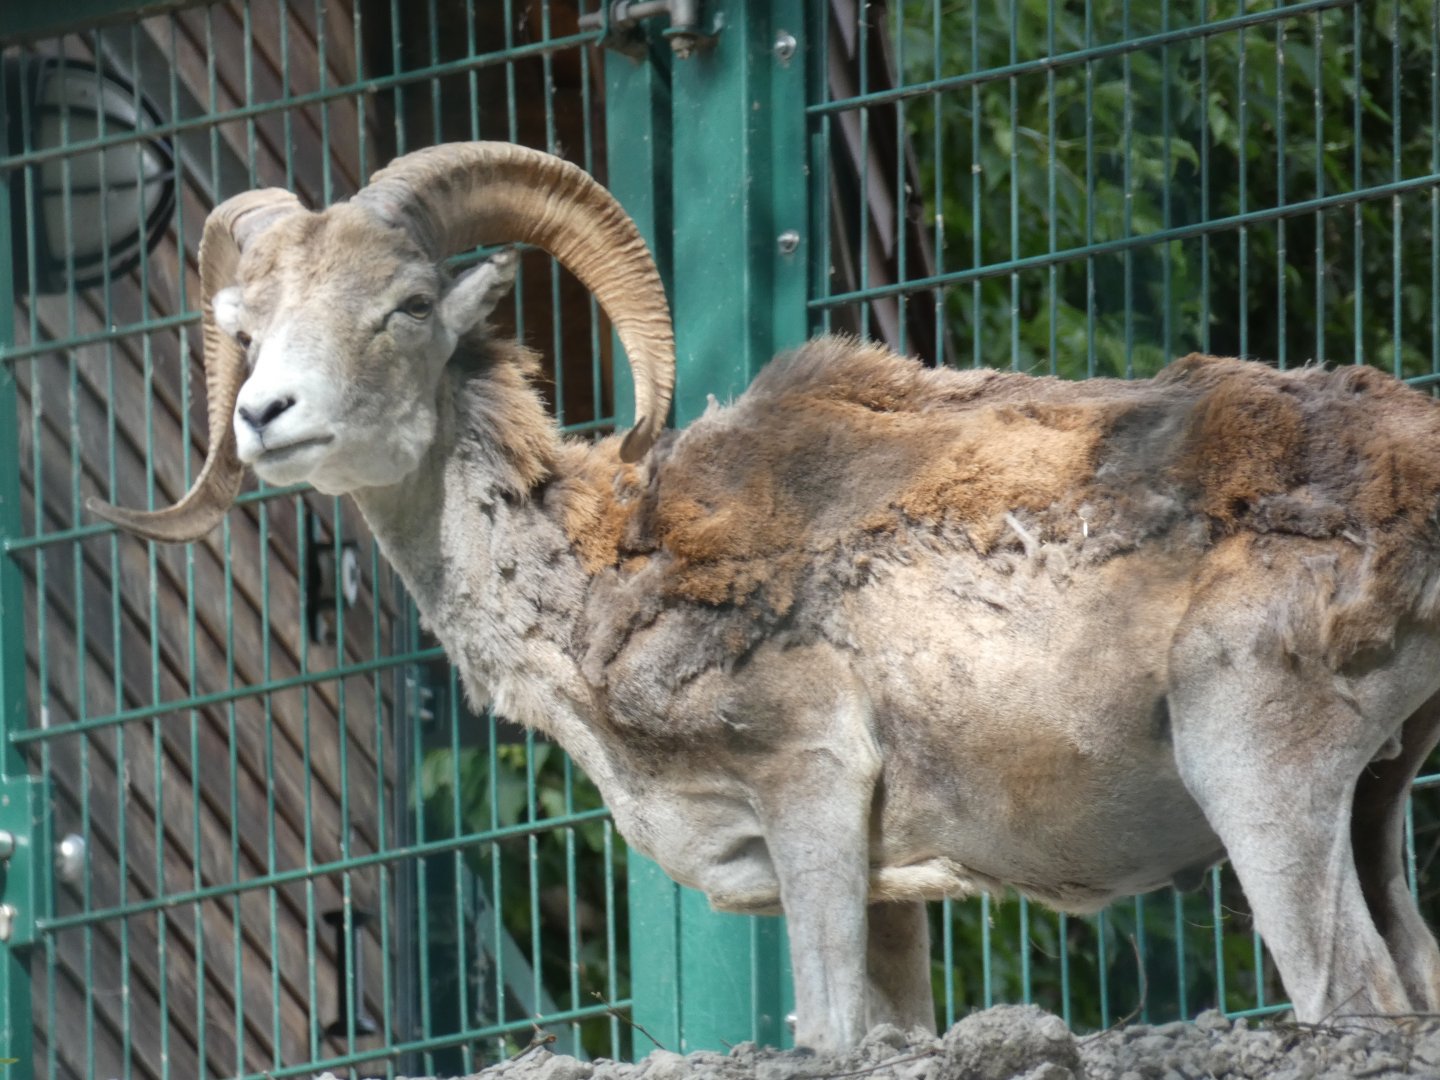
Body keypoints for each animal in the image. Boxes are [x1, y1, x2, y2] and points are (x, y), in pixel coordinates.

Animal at [91, 140, 1440, 1052]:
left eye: (407, 305)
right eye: (247, 324)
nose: (266, 417)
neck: (604, 572)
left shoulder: (813, 796)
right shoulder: (892, 894)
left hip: (1254, 775)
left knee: (1351, 994)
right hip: (1372, 808)